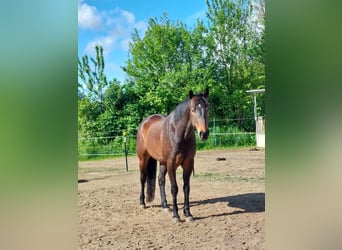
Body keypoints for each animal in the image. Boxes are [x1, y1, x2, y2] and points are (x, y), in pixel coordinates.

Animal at [136, 87, 210, 222]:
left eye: (207, 107)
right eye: (193, 109)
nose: (204, 133)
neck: (178, 133)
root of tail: (145, 123)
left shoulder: (188, 163)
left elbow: (186, 188)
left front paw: (188, 214)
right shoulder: (171, 163)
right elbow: (174, 188)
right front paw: (176, 215)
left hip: (162, 162)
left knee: (160, 180)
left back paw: (165, 206)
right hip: (143, 159)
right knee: (142, 178)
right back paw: (142, 203)